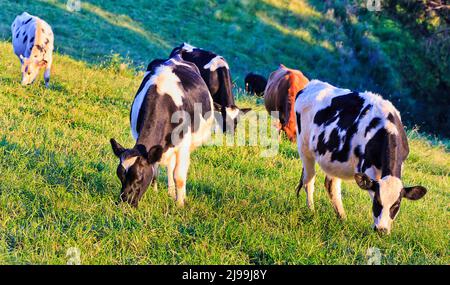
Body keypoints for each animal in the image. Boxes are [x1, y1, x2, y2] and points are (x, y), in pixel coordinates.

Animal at [109, 55, 214, 206]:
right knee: (170, 165)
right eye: (120, 176)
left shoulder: (183, 145)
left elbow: (179, 176)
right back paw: (170, 192)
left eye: (139, 178)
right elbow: (155, 169)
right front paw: (155, 191)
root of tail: (176, 57)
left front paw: (179, 204)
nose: (126, 201)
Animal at [294, 78, 428, 233]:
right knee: (309, 181)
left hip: (333, 158)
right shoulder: (367, 167)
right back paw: (312, 211)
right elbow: (371, 187)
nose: (381, 230)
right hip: (304, 148)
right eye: (377, 202)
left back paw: (342, 218)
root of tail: (312, 84)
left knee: (331, 185)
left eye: (396, 204)